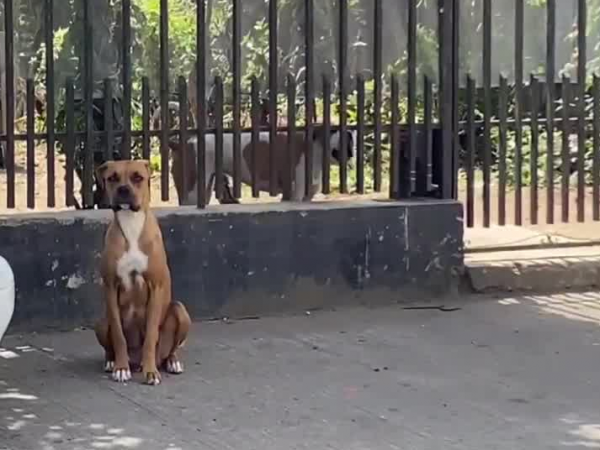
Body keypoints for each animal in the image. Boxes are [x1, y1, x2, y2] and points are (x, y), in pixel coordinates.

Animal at [94, 160, 191, 385]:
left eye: (138, 177)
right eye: (112, 178)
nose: (123, 189)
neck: (131, 224)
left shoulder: (156, 288)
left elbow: (150, 337)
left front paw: (151, 372)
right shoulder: (110, 287)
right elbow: (119, 335)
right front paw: (121, 368)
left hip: (180, 311)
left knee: (168, 350)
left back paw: (171, 362)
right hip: (101, 320)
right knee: (110, 343)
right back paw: (112, 361)